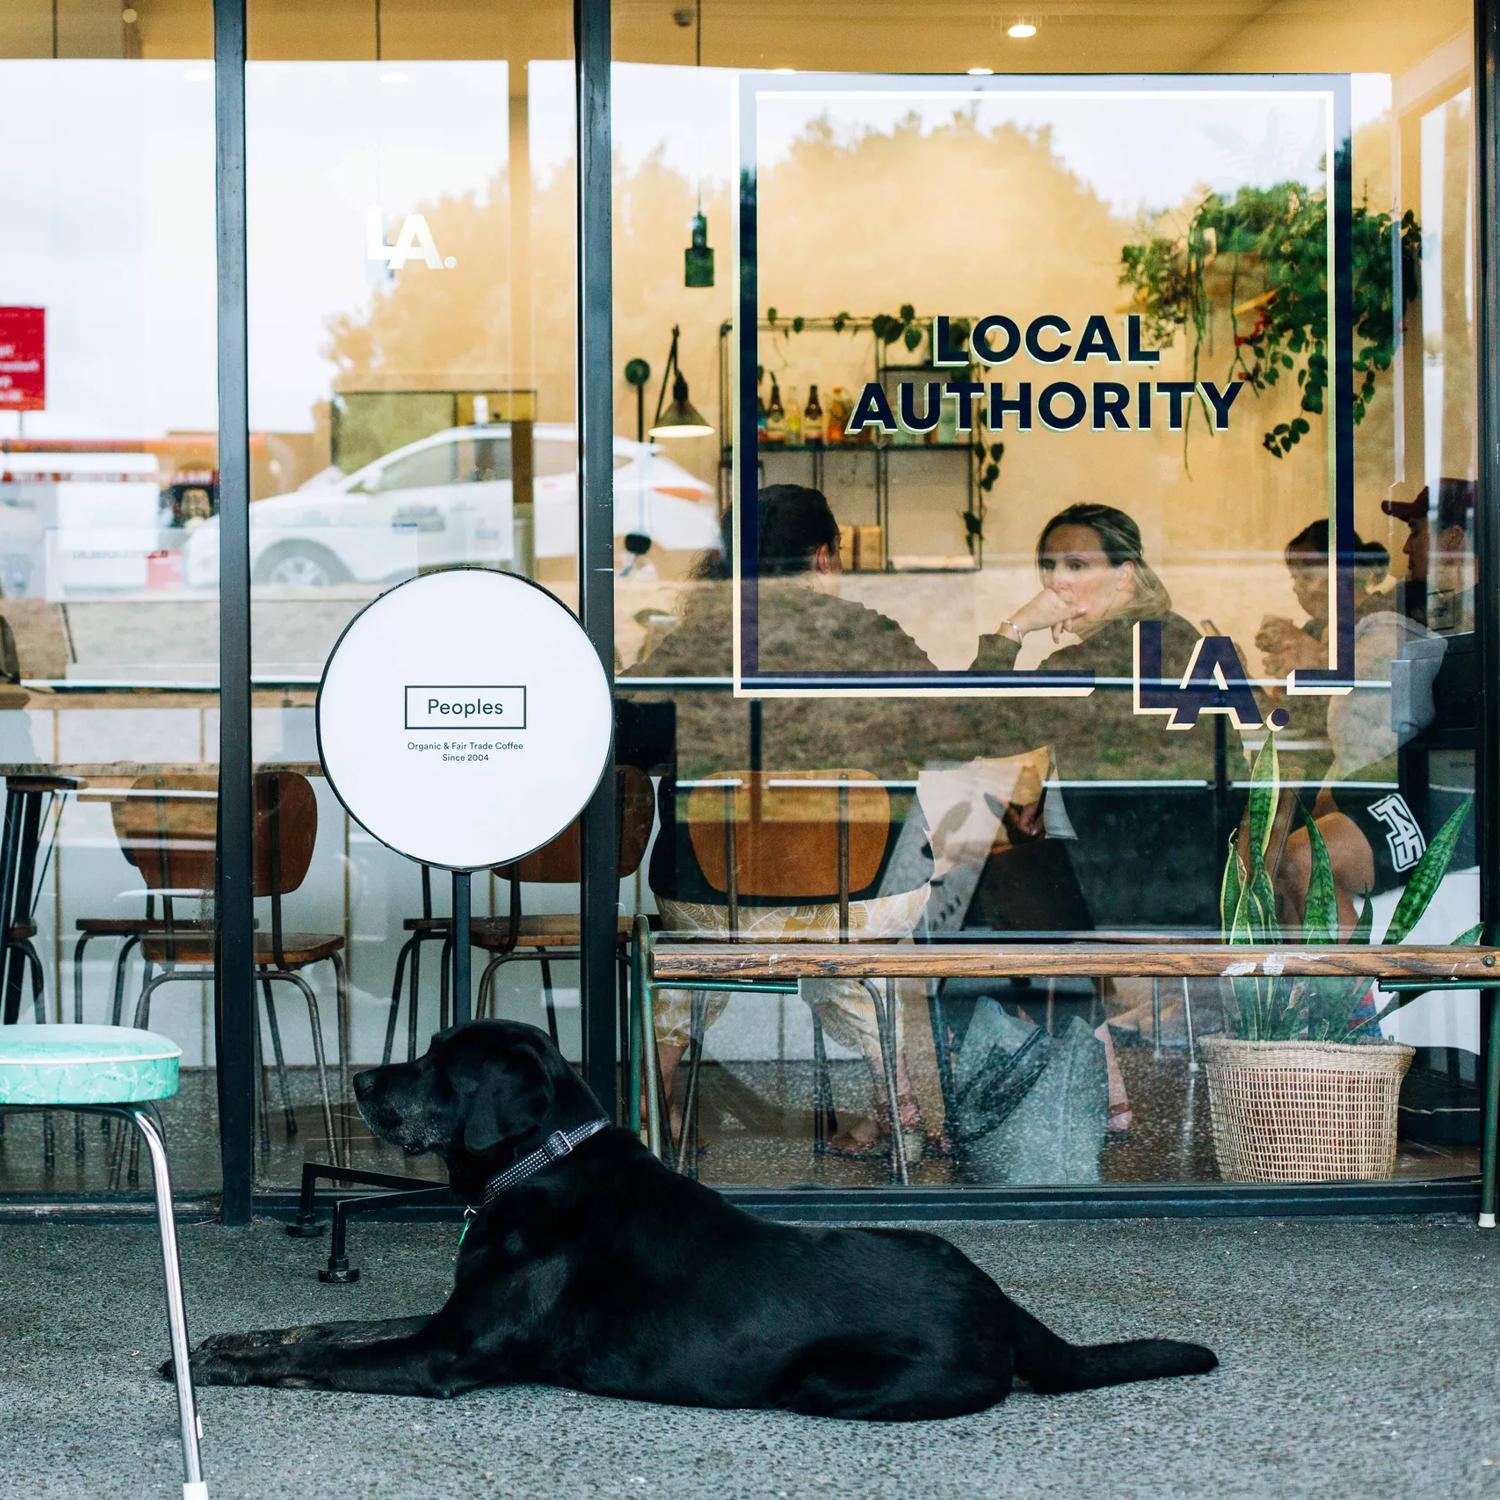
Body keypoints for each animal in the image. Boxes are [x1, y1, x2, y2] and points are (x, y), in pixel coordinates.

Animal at [175, 1014, 1212, 1410]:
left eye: (438, 1062)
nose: (358, 1080)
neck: (543, 1166)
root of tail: (1000, 1302)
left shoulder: (446, 1354)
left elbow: (328, 1356)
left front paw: (226, 1374)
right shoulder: (442, 1321)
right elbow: (319, 1326)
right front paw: (218, 1346)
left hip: (832, 1381)